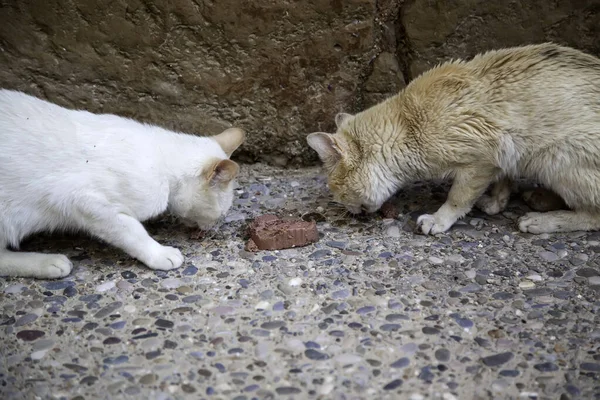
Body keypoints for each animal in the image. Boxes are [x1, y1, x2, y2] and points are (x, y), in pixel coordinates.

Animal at [0, 90, 245, 278]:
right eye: (222, 213)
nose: (212, 228)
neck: (161, 159)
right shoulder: (82, 200)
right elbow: (132, 232)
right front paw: (159, 254)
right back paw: (48, 263)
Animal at [308, 43, 600, 234]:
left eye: (336, 191)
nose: (347, 210)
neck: (407, 124)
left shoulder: (482, 158)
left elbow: (458, 197)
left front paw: (439, 220)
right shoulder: (505, 152)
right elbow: (502, 183)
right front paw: (494, 203)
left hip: (559, 158)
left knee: (593, 215)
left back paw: (544, 221)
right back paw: (540, 198)